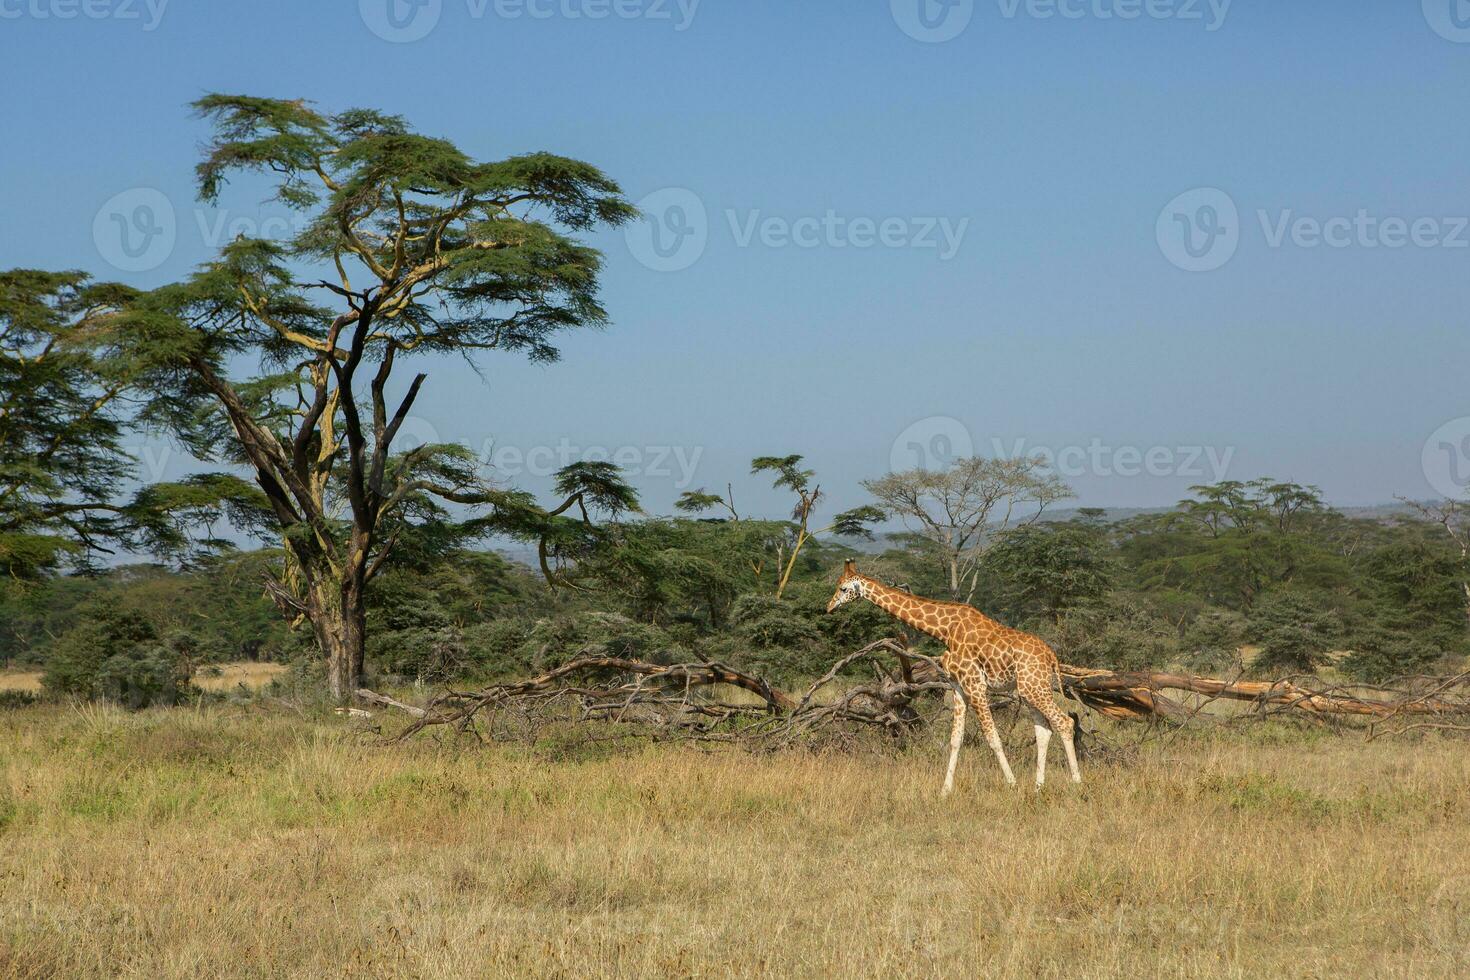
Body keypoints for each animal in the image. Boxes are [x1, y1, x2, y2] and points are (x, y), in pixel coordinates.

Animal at [829, 558, 1081, 787]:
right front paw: (945, 790)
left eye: (843, 588)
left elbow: (992, 736)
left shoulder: (975, 684)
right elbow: (955, 740)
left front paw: (1012, 784)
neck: (944, 630)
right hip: (1029, 689)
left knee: (1065, 722)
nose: (829, 607)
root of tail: (1051, 656)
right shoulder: (958, 686)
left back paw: (1077, 783)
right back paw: (1039, 786)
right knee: (1044, 730)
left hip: (1034, 686)